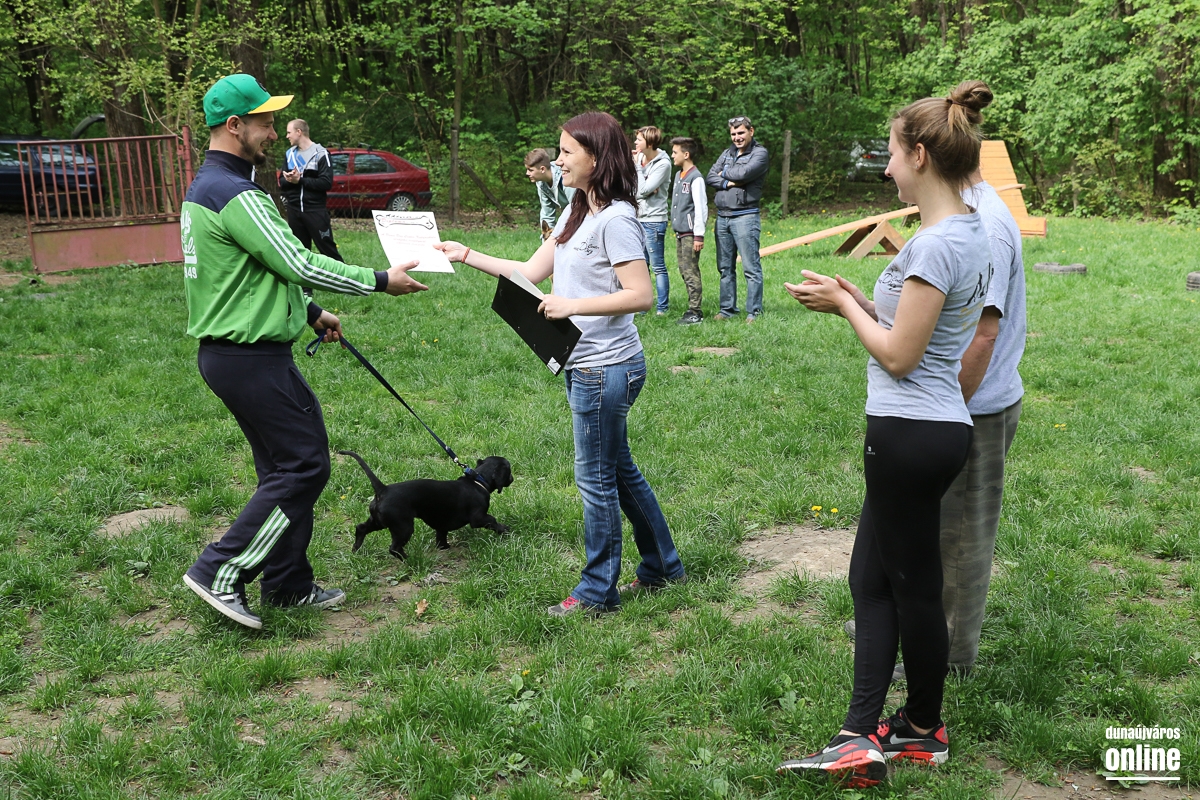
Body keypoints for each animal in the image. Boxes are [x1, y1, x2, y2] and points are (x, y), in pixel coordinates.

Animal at [338, 450, 513, 558]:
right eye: (509, 471)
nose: (512, 479)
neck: (478, 481)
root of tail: (383, 489)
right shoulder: (478, 518)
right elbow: (492, 520)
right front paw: (504, 529)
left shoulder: (442, 523)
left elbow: (441, 535)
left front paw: (444, 547)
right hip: (403, 527)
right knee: (394, 548)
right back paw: (409, 560)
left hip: (378, 521)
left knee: (361, 528)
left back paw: (355, 549)